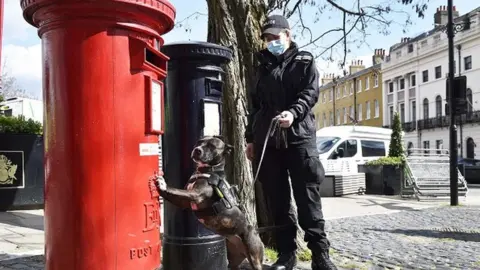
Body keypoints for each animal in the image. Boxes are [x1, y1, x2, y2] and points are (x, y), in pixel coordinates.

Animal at [157, 137, 262, 270]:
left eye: (212, 146)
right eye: (199, 142)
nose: (197, 150)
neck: (208, 171)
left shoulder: (195, 195)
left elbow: (175, 190)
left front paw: (163, 185)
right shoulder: (184, 201)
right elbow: (173, 194)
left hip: (255, 257)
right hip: (234, 258)